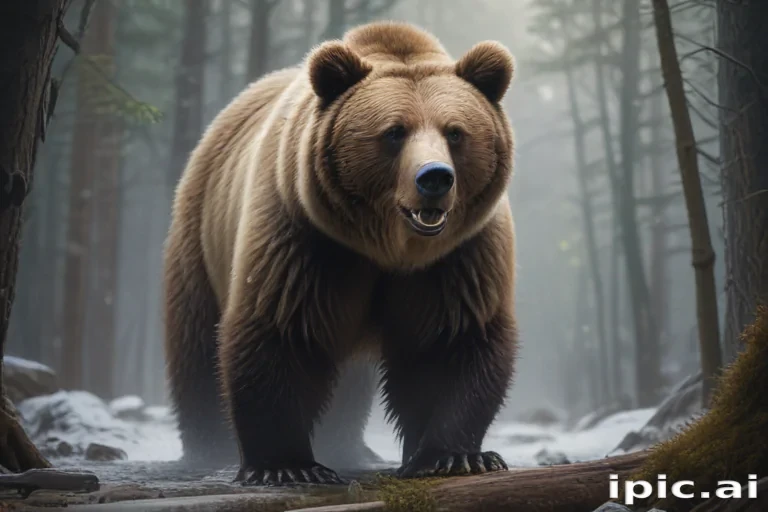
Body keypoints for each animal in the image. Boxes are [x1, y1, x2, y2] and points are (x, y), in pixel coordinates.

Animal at [162, 21, 518, 485]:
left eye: (455, 131)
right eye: (394, 131)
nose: (435, 178)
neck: (389, 250)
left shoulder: (458, 257)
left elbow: (451, 339)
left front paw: (456, 455)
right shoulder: (306, 239)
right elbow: (280, 330)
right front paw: (288, 465)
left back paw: (349, 446)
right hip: (200, 237)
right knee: (198, 350)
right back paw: (208, 449)